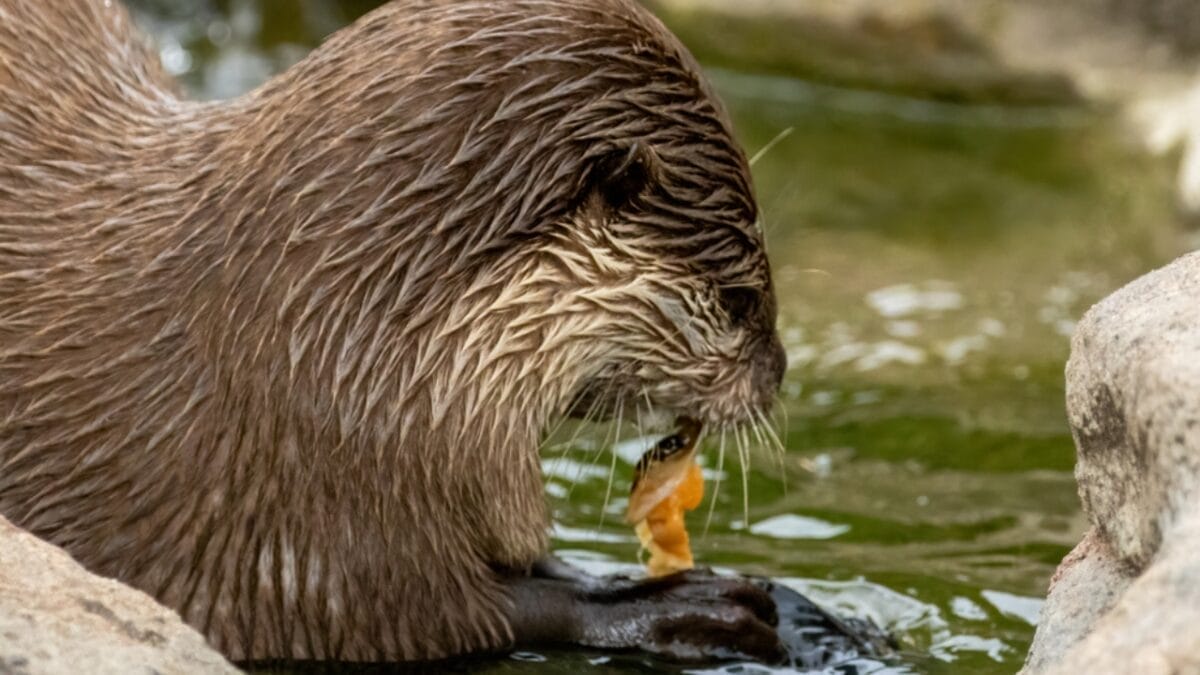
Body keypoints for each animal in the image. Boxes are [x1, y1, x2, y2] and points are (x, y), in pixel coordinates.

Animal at [0, 0, 788, 664]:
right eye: (738, 298)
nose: (777, 372)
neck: (314, 348)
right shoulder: (291, 542)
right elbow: (453, 611)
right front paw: (678, 607)